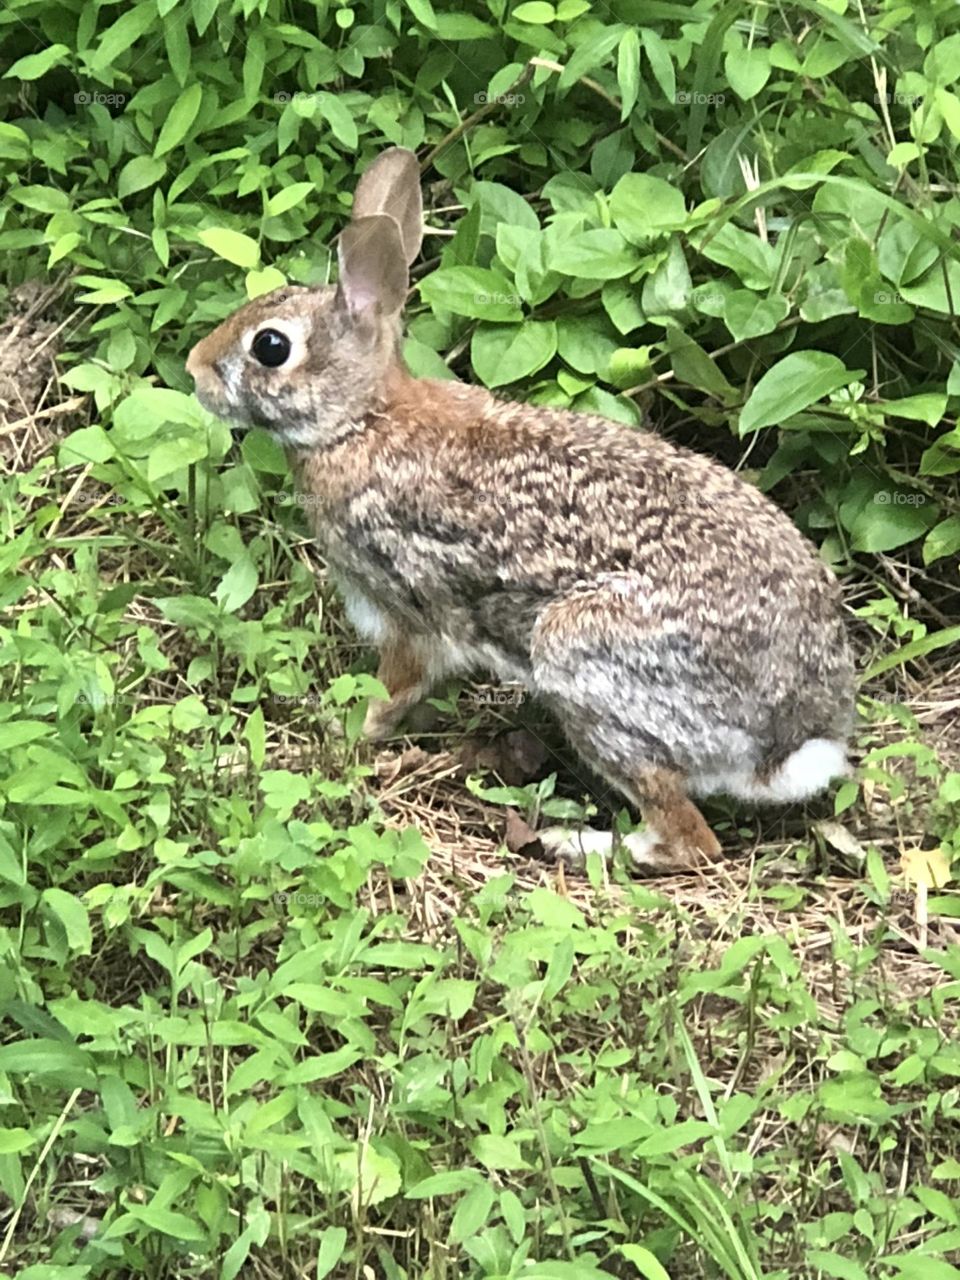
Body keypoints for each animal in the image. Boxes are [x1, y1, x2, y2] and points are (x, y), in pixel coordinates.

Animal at [186, 146, 856, 874]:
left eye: (270, 347)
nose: (193, 370)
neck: (361, 421)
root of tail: (792, 740)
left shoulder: (409, 611)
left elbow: (389, 693)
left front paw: (340, 736)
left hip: (582, 662)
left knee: (688, 838)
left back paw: (576, 841)